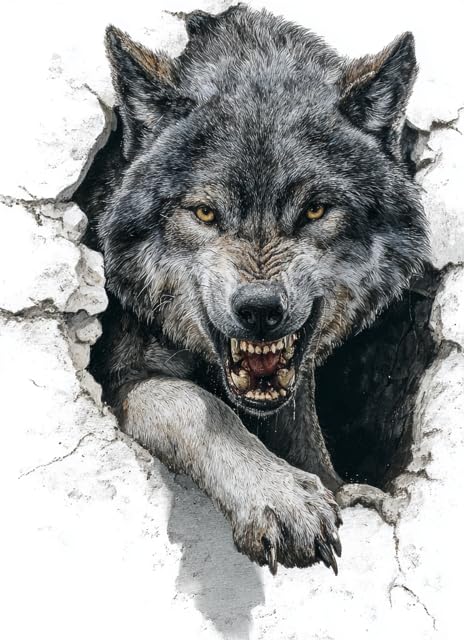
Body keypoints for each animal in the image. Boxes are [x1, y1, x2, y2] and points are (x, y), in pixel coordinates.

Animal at [75, 4, 428, 575]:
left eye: (315, 210)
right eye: (204, 213)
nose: (260, 310)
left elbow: (304, 431)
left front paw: (334, 488)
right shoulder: (119, 373)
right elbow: (196, 405)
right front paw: (277, 495)